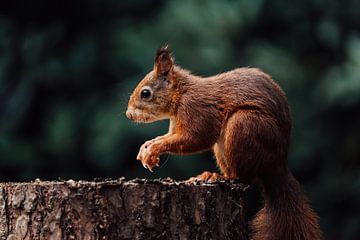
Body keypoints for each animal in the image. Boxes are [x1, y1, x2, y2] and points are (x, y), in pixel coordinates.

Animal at [126, 46, 320, 239]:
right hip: (223, 148)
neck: (181, 94)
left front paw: (155, 148)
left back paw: (220, 177)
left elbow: (196, 138)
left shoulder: (197, 110)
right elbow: (169, 136)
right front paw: (148, 146)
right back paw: (209, 176)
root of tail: (278, 165)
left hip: (244, 125)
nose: (128, 114)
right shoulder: (175, 126)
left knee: (244, 178)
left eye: (145, 93)